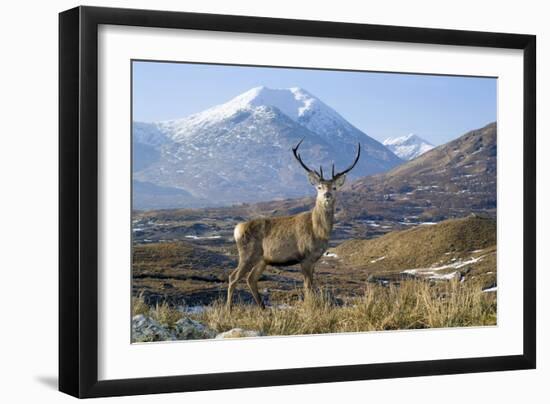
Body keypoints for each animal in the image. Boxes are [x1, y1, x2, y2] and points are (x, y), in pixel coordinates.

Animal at [227, 140, 362, 310]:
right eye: (319, 187)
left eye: (334, 187)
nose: (327, 195)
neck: (318, 231)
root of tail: (237, 229)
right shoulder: (305, 257)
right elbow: (308, 287)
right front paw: (309, 307)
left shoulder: (313, 260)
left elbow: (311, 286)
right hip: (247, 253)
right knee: (233, 277)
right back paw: (229, 309)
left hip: (262, 259)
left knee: (250, 278)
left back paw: (263, 308)